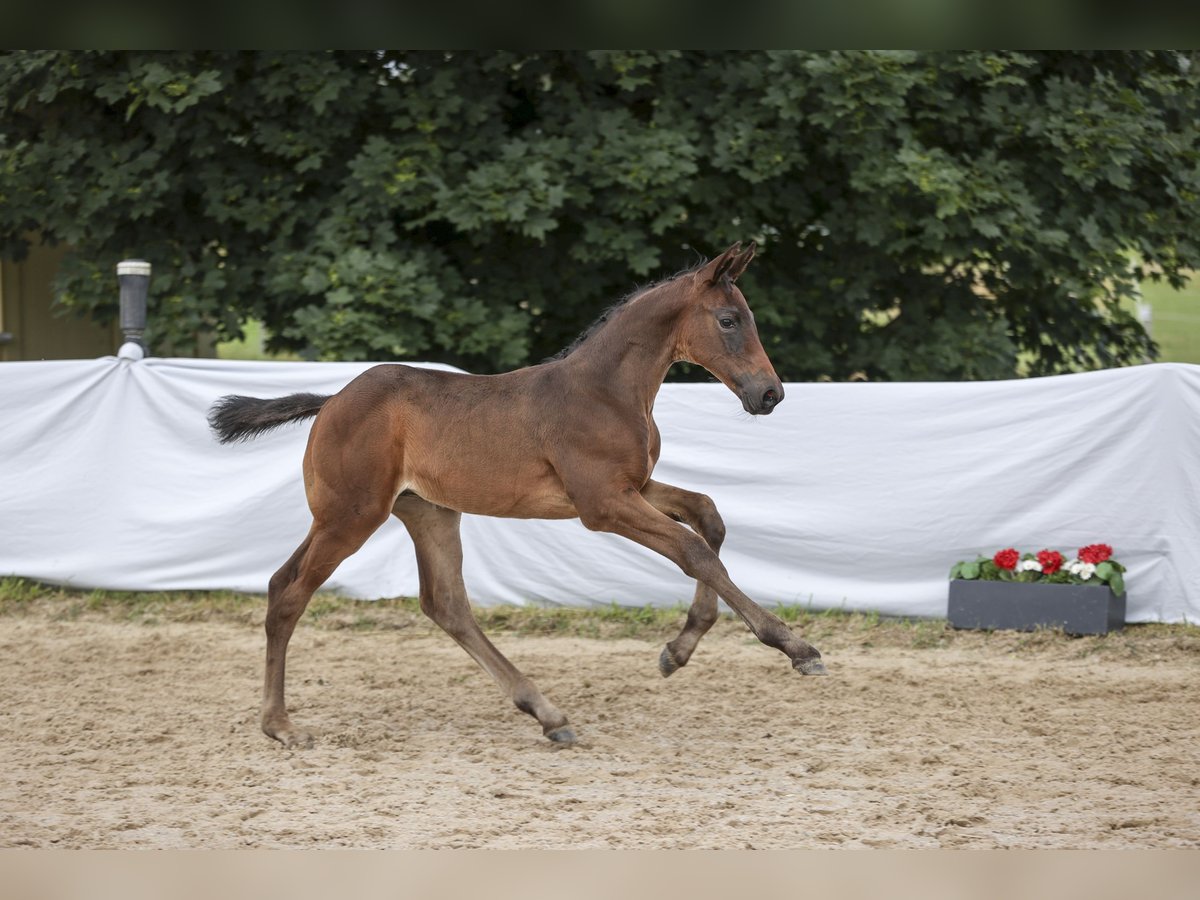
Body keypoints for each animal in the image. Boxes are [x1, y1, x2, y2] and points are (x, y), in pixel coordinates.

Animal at [208, 243, 825, 748]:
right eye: (728, 320)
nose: (770, 394)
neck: (605, 390)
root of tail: (332, 400)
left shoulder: (635, 486)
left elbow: (708, 517)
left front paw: (678, 651)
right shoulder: (602, 504)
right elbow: (691, 548)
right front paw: (795, 647)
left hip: (425, 512)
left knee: (442, 603)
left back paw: (548, 715)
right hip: (350, 515)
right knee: (290, 592)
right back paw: (281, 726)